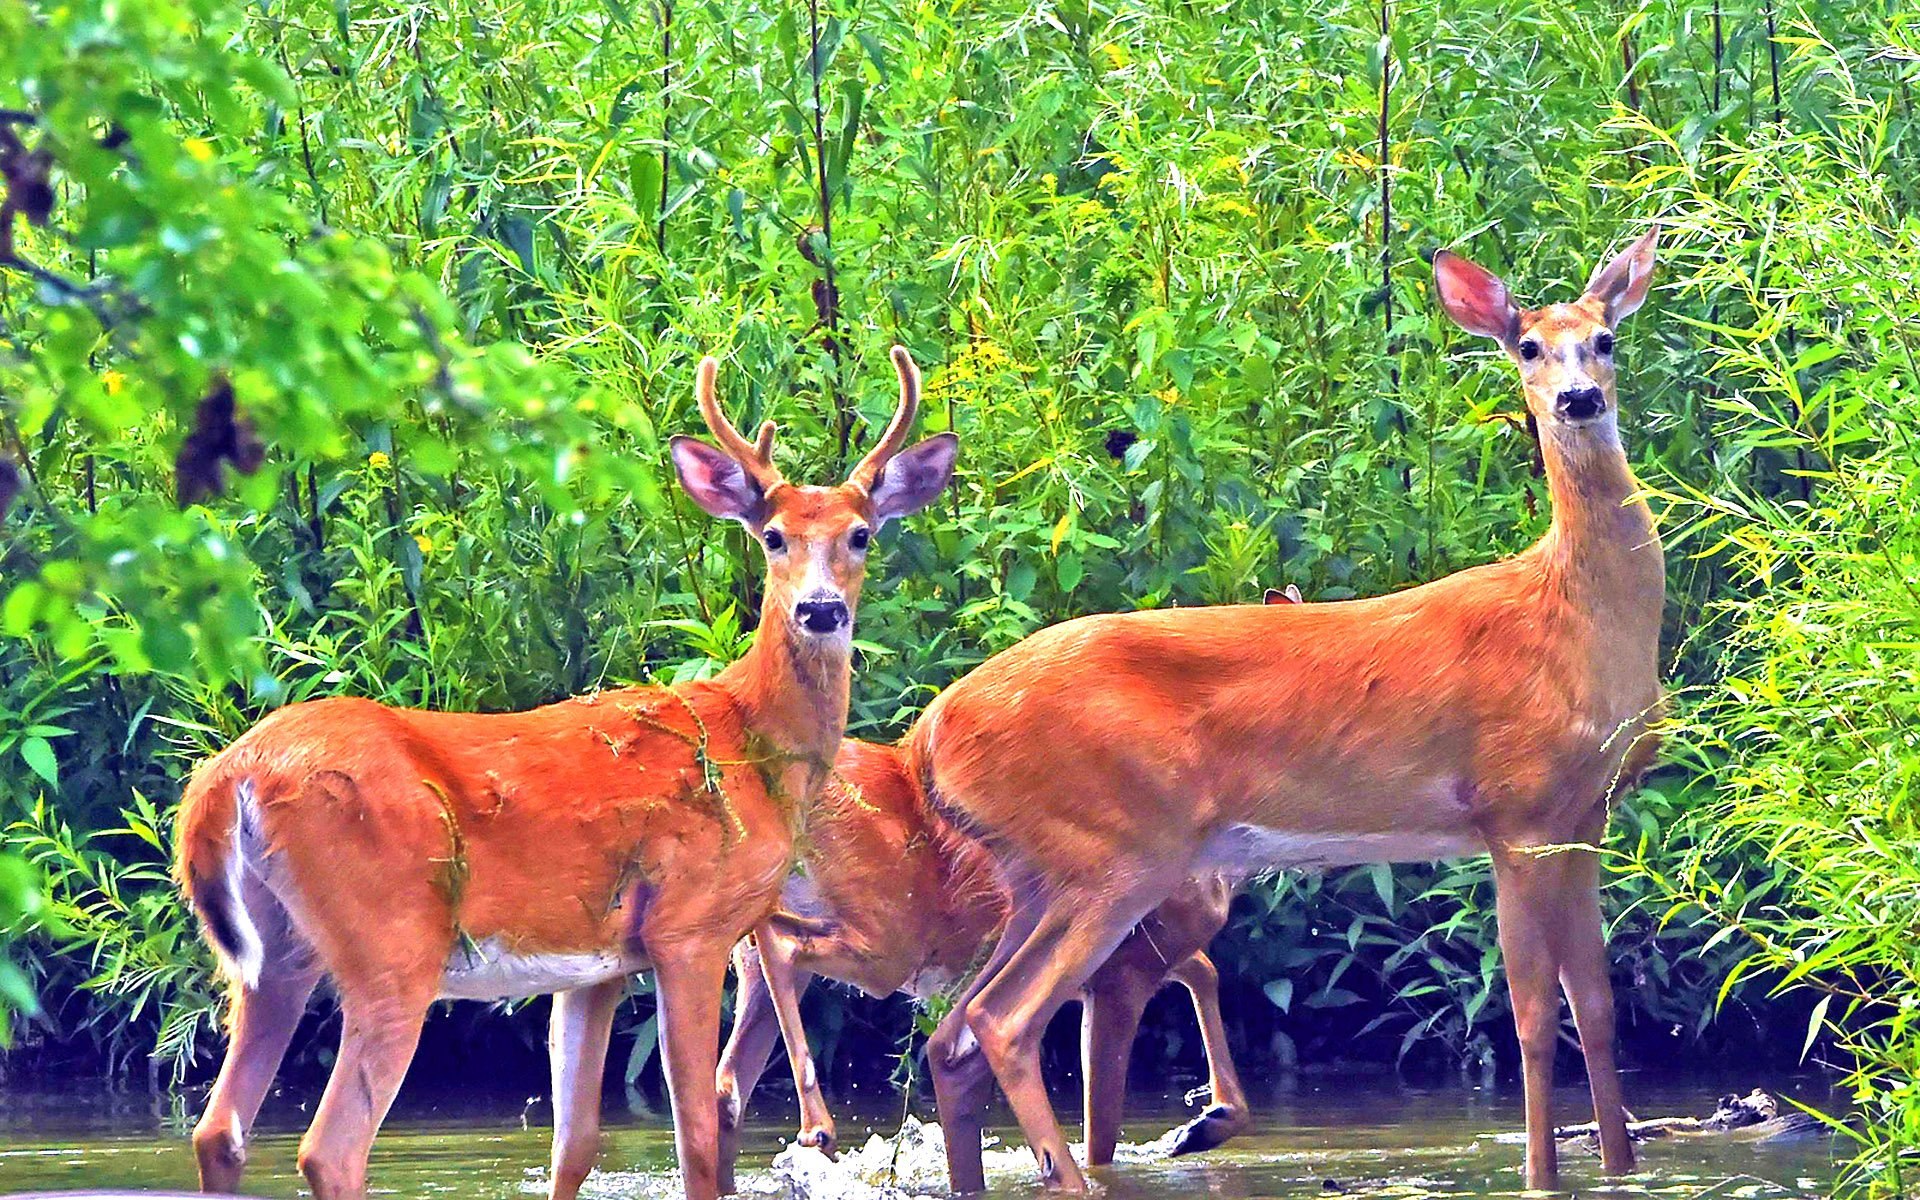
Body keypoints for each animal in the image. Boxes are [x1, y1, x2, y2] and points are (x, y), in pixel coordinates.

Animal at [176, 345, 956, 1198]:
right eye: (775, 536)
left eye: (861, 535)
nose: (820, 611)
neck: (750, 737)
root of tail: (231, 776)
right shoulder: (690, 927)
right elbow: (698, 1137)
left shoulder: (594, 968)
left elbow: (575, 1144)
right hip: (390, 941)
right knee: (330, 1146)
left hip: (271, 959)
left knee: (219, 1129)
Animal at [714, 733, 1251, 1190]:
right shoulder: (1124, 970)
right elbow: (1101, 1137)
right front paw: (1198, 1126)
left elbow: (1203, 969)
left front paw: (1206, 1122)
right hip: (887, 939)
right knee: (784, 950)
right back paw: (816, 1128)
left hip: (770, 954)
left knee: (728, 1079)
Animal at [913, 226, 1666, 1190]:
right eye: (1528, 346)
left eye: (1604, 338)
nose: (1577, 398)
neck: (1573, 620)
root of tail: (930, 734)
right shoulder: (1516, 808)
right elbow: (1534, 1016)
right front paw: (1540, 1176)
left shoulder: (1585, 813)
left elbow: (1597, 1008)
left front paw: (1620, 1167)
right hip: (1117, 849)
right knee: (1004, 1020)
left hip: (1039, 868)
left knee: (954, 1035)